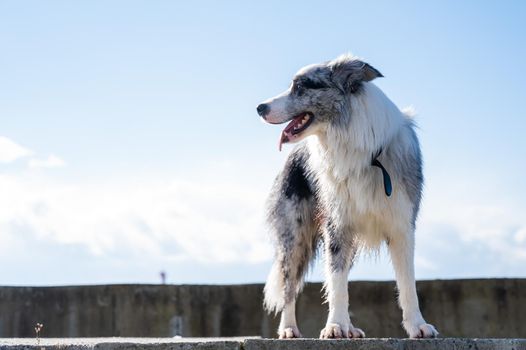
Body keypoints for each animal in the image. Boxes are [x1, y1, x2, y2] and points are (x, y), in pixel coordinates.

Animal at [258, 53, 440, 338]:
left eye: (301, 86)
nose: (260, 107)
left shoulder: (402, 225)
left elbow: (407, 284)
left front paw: (417, 325)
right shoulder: (337, 224)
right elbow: (336, 282)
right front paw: (335, 326)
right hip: (294, 235)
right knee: (289, 286)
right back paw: (289, 329)